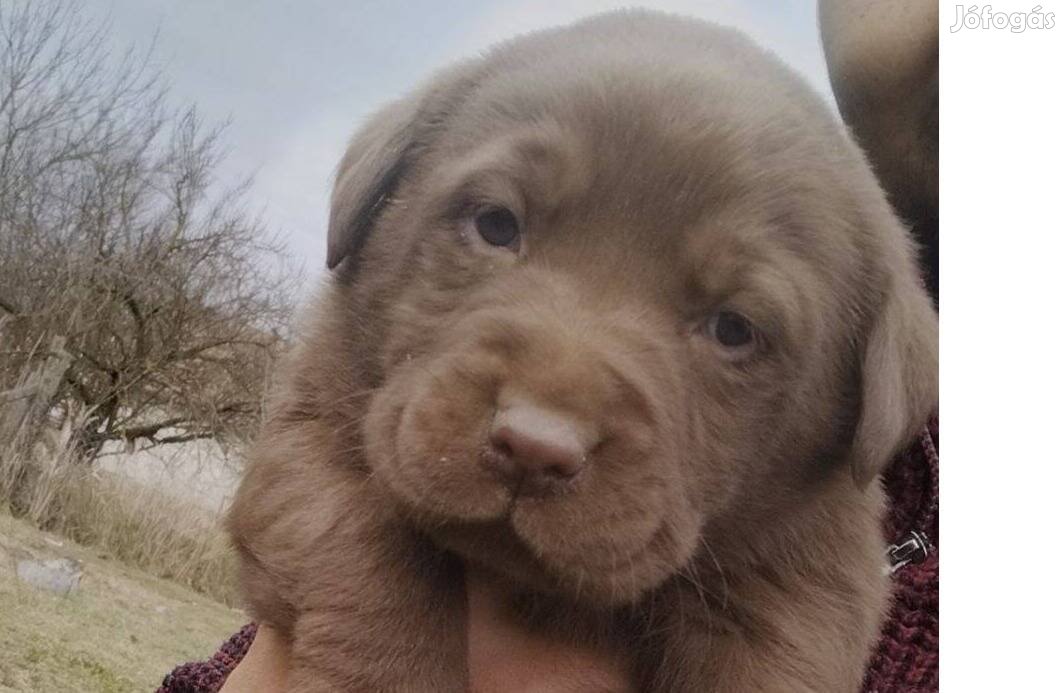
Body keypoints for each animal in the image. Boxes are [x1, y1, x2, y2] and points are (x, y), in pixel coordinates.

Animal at [228, 10, 936, 693]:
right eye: (496, 224)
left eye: (733, 328)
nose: (533, 448)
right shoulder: (311, 426)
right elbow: (365, 545)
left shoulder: (811, 582)